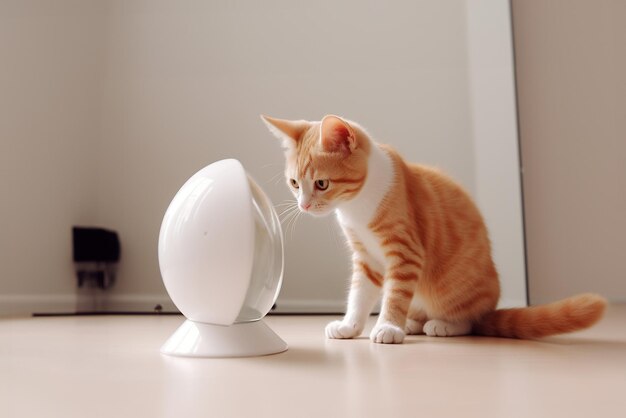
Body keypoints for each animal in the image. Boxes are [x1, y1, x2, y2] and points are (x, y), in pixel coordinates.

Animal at [262, 113, 604, 342]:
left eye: (322, 184)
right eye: (295, 184)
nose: (304, 206)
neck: (355, 208)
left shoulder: (405, 252)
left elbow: (395, 294)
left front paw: (388, 326)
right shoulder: (367, 258)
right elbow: (359, 294)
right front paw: (350, 325)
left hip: (457, 291)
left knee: (471, 321)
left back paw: (443, 325)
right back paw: (413, 322)